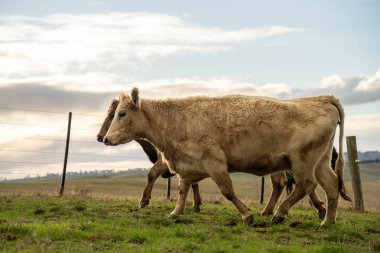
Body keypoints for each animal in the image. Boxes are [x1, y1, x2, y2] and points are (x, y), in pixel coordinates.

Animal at [103, 88, 350, 226]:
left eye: (122, 113)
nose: (105, 139)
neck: (177, 121)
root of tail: (323, 98)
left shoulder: (215, 164)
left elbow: (228, 191)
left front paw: (247, 216)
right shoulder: (188, 166)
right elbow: (183, 190)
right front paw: (175, 213)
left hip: (302, 161)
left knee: (306, 185)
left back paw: (279, 214)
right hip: (321, 161)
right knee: (331, 185)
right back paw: (327, 221)